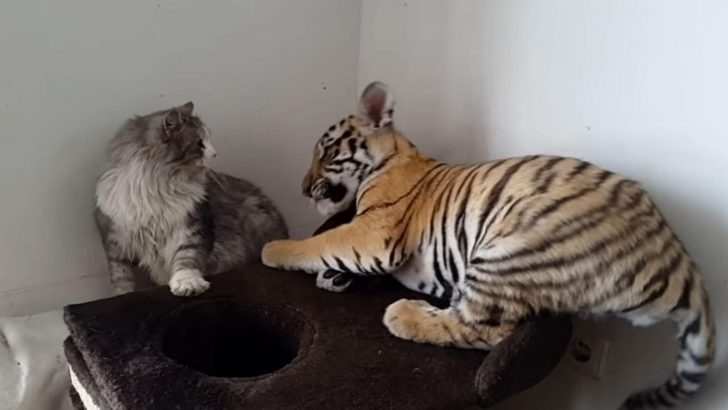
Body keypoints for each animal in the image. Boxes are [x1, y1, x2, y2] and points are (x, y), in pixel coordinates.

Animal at [95, 101, 288, 296]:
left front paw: (187, 284)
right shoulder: (115, 242)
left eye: (208, 139)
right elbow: (121, 277)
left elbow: (186, 258)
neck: (157, 188)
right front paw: (123, 293)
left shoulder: (191, 227)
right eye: (200, 143)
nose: (215, 153)